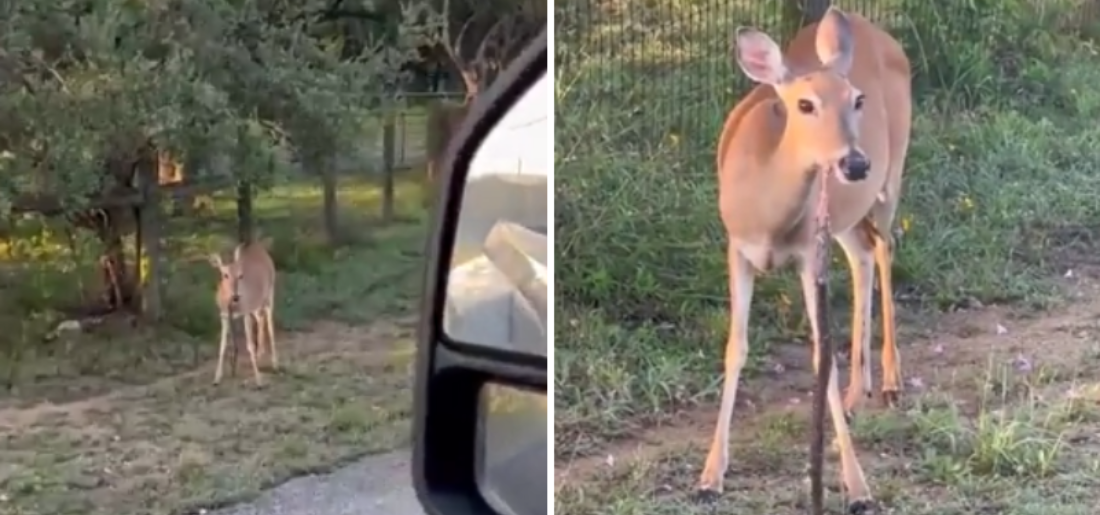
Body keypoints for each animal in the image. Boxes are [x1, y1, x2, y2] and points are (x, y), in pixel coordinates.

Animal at [208, 238, 278, 386]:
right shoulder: (224, 316)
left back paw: (275, 364)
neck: (232, 305)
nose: (236, 296)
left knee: (270, 324)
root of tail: (259, 247)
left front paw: (259, 380)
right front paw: (216, 378)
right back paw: (260, 354)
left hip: (269, 293)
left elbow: (249, 345)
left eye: (240, 275)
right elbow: (222, 346)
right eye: (225, 275)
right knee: (260, 318)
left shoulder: (245, 312)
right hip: (255, 305)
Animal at [698, 7, 911, 510]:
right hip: (845, 217)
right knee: (864, 253)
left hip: (891, 176)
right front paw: (711, 475)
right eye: (805, 105)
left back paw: (890, 382)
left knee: (885, 246)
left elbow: (822, 353)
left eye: (857, 99)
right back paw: (857, 394)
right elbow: (735, 348)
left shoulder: (807, 254)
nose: (855, 163)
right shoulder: (737, 247)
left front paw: (858, 488)